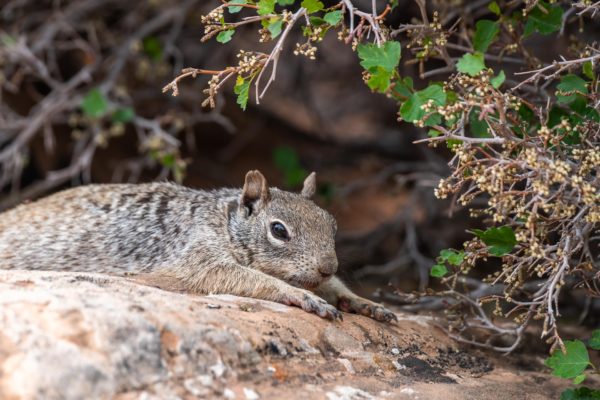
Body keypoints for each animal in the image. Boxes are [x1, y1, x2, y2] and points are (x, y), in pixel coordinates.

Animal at [0, 170, 398, 322]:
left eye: (332, 224)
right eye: (279, 230)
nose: (328, 266)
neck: (224, 220)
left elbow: (337, 290)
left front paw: (365, 302)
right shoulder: (199, 257)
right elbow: (255, 279)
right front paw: (304, 297)